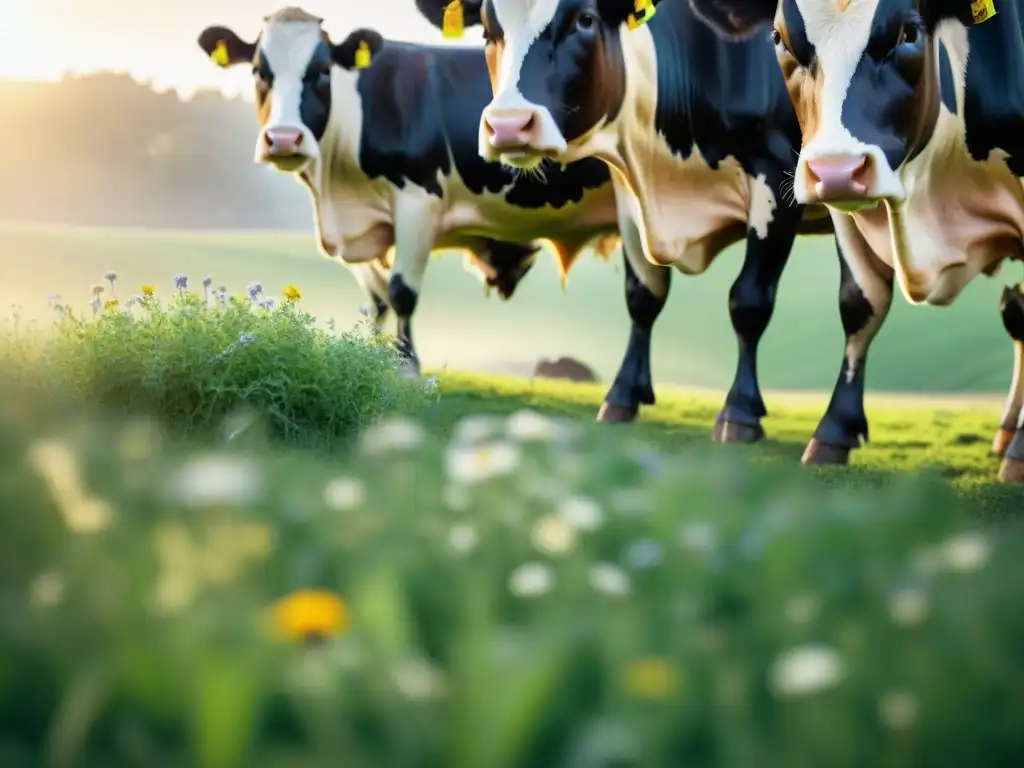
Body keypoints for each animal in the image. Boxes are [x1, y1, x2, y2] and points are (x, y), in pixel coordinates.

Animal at [196, 7, 688, 428]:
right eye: (259, 72)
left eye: (319, 71)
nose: (283, 139)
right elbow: (374, 303)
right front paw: (372, 359)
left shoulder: (417, 200)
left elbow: (401, 293)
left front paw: (406, 368)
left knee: (645, 296)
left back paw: (625, 396)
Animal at [411, 0, 868, 460]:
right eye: (488, 31)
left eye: (585, 20)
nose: (507, 126)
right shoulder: (629, 198)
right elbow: (642, 296)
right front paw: (623, 395)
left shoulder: (776, 180)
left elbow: (749, 302)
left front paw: (739, 412)